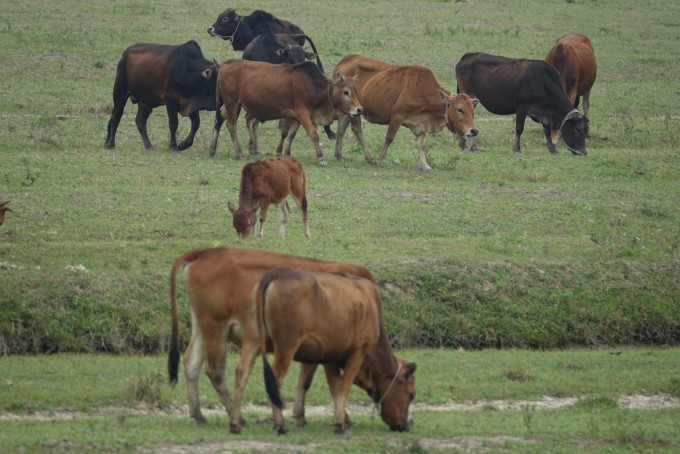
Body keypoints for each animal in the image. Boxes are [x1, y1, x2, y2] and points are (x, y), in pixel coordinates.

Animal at [167, 248, 374, 432]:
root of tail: (204, 252)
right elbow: (319, 382)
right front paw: (340, 418)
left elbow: (307, 379)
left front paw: (301, 416)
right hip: (216, 325)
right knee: (215, 370)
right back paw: (238, 418)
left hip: (202, 325)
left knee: (191, 362)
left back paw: (199, 414)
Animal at [210, 59, 364, 167]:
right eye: (346, 92)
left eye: (356, 91)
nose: (359, 109)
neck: (316, 86)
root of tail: (228, 63)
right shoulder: (302, 114)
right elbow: (314, 135)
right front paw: (321, 158)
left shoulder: (295, 116)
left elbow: (290, 135)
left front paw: (287, 154)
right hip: (232, 102)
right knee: (231, 125)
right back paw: (239, 153)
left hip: (233, 105)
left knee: (219, 120)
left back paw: (212, 149)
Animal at [255, 268, 414, 434]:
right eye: (411, 395)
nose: (407, 425)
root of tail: (276, 273)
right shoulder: (358, 352)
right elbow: (343, 387)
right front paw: (340, 423)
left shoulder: (326, 357)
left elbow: (324, 385)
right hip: (286, 347)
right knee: (276, 381)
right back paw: (281, 425)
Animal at [334, 55, 478, 171]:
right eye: (460, 109)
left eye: (472, 111)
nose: (474, 131)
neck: (422, 91)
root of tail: (345, 60)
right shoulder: (397, 116)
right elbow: (389, 138)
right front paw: (381, 160)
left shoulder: (422, 123)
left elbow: (421, 144)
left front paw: (424, 165)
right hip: (355, 112)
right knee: (357, 129)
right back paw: (369, 157)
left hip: (351, 110)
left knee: (341, 129)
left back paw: (339, 154)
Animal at [454, 52, 588, 155]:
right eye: (577, 129)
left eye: (584, 130)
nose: (583, 152)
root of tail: (467, 56)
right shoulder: (522, 107)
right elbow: (519, 129)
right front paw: (517, 148)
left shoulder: (544, 113)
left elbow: (547, 131)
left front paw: (552, 149)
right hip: (468, 97)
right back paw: (469, 146)